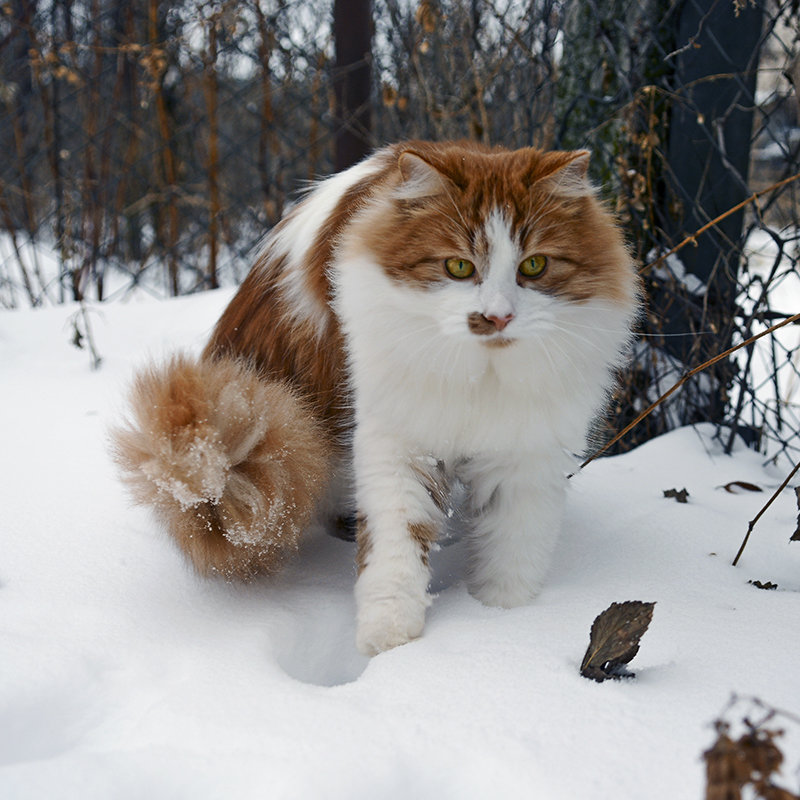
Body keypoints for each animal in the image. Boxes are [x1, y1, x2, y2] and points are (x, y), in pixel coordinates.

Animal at [112, 142, 640, 656]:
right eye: (458, 267)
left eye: (534, 265)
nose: (496, 317)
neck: (478, 376)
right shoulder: (399, 443)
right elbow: (395, 548)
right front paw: (389, 640)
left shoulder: (526, 455)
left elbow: (512, 553)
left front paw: (501, 620)